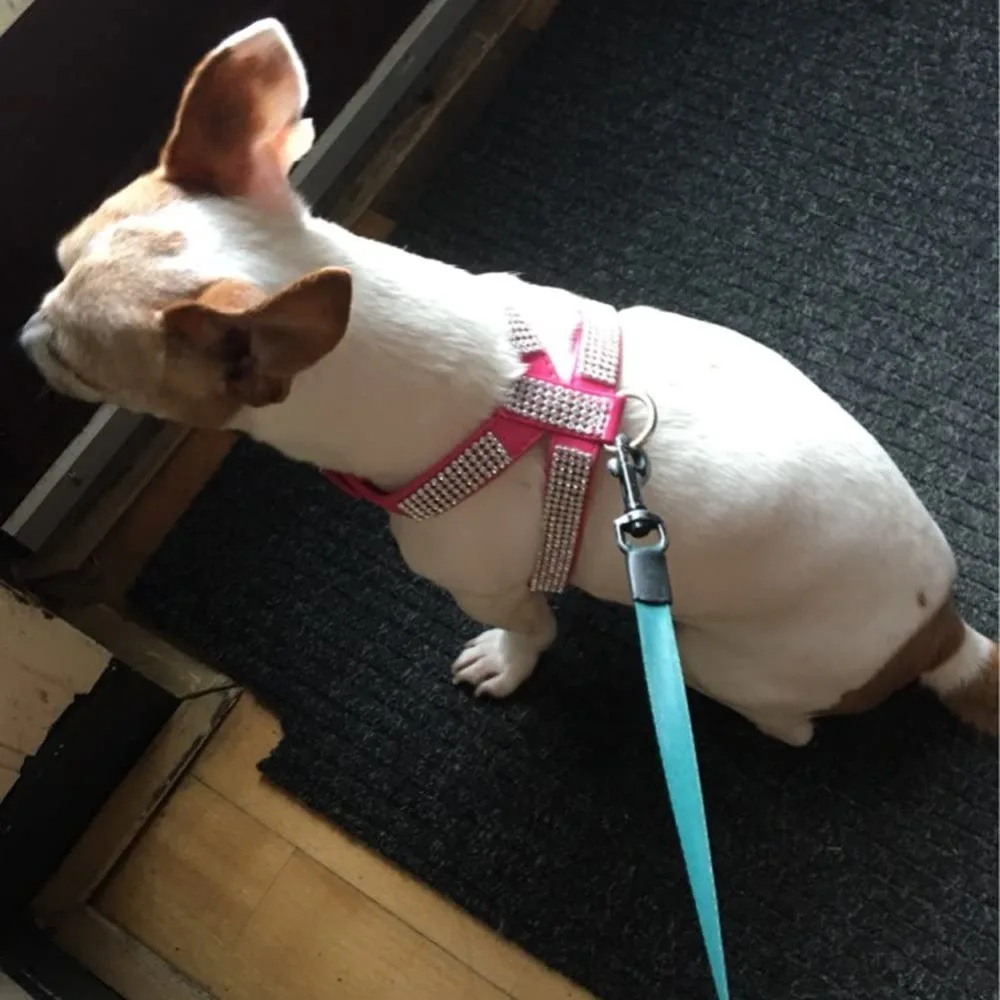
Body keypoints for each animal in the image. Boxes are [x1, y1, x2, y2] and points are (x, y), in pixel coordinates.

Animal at [20, 20, 997, 746]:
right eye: (56, 264)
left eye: (71, 360)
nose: (26, 335)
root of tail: (941, 631)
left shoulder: (481, 581)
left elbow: (530, 628)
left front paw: (510, 661)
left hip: (715, 657)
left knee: (783, 723)